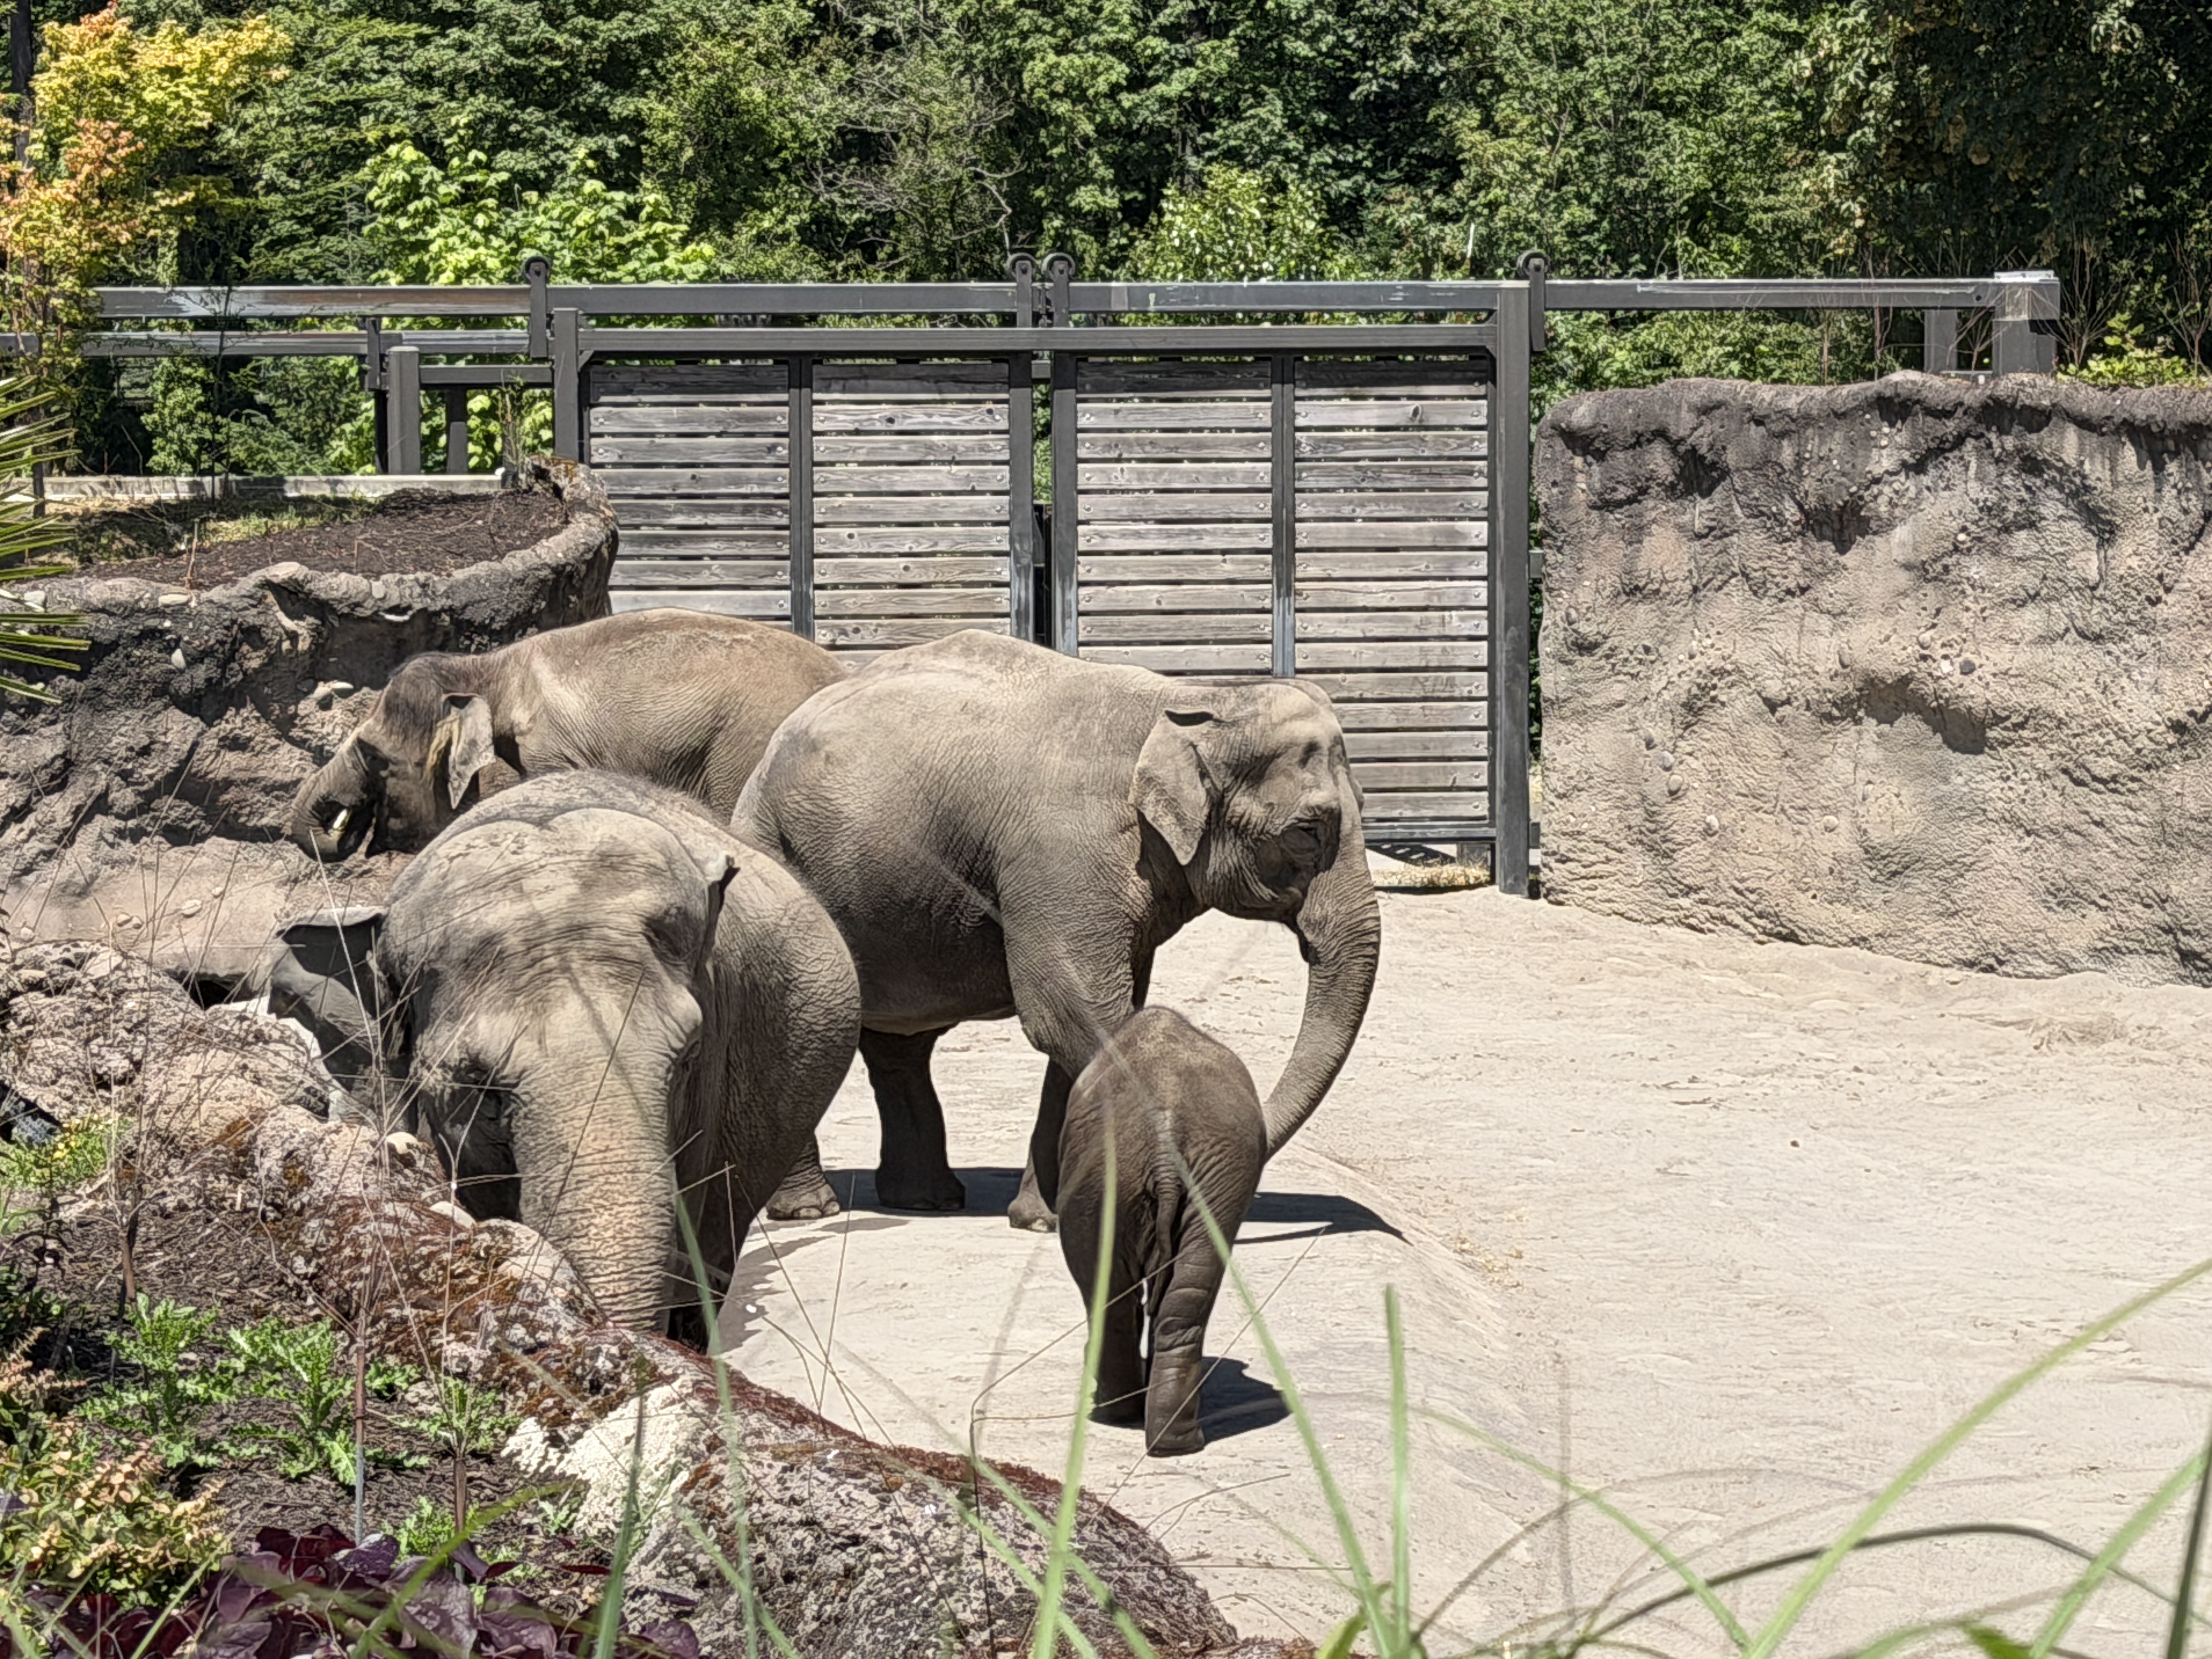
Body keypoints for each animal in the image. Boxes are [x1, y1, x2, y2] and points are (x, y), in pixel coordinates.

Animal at [732, 629, 1379, 1230]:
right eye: (1308, 830)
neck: (1192, 698)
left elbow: (1090, 1018)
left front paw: (1044, 1219)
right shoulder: (1064, 853)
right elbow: (1073, 1012)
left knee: (901, 1045)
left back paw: (926, 1201)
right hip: (778, 855)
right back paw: (808, 1210)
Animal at [1057, 1006, 1265, 1457]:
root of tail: (1166, 1148)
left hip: (1111, 1174)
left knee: (1112, 1295)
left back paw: (1120, 1415)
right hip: (1205, 1178)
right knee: (1184, 1296)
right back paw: (1174, 1442)